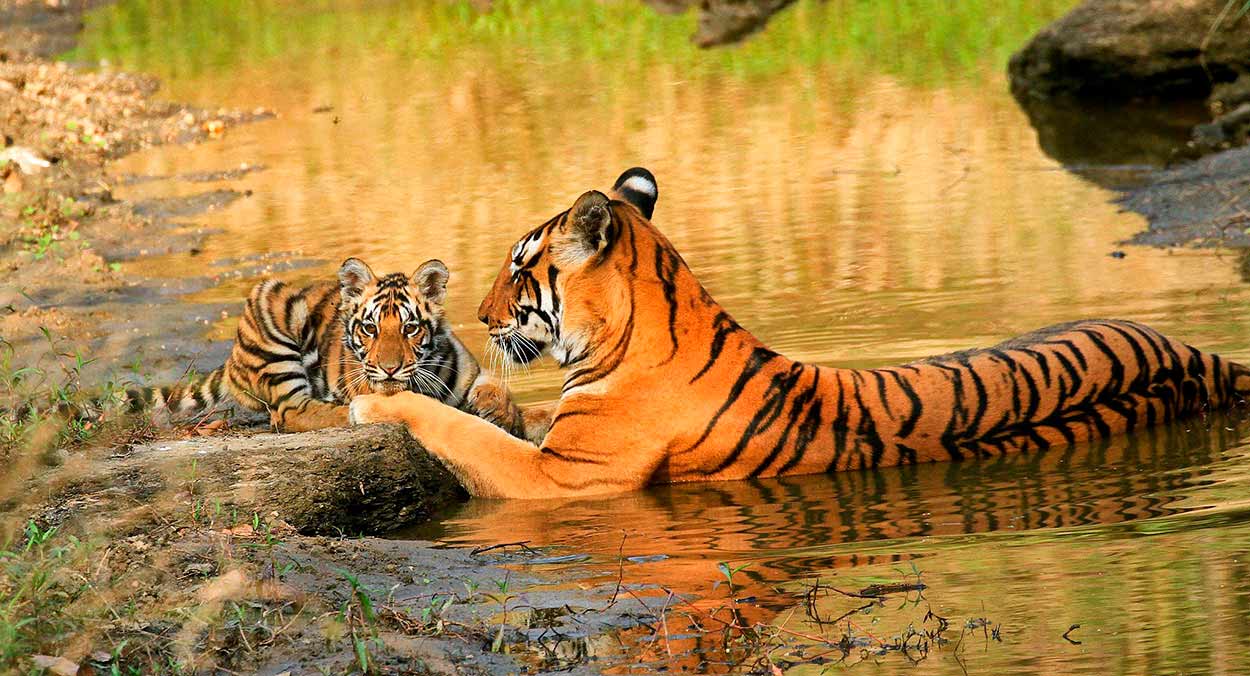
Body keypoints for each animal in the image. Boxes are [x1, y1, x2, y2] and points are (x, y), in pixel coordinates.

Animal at [130, 256, 541, 437]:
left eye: (410, 328)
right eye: (370, 328)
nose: (390, 368)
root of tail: (231, 359)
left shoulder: (469, 372)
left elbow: (497, 388)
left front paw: (500, 412)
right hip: (272, 307)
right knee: (292, 412)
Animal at [348, 167, 1250, 499]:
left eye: (518, 267)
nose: (481, 314)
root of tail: (1205, 357)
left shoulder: (567, 477)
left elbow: (461, 433)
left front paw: (375, 402)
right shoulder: (566, 435)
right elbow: (506, 415)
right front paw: (491, 397)